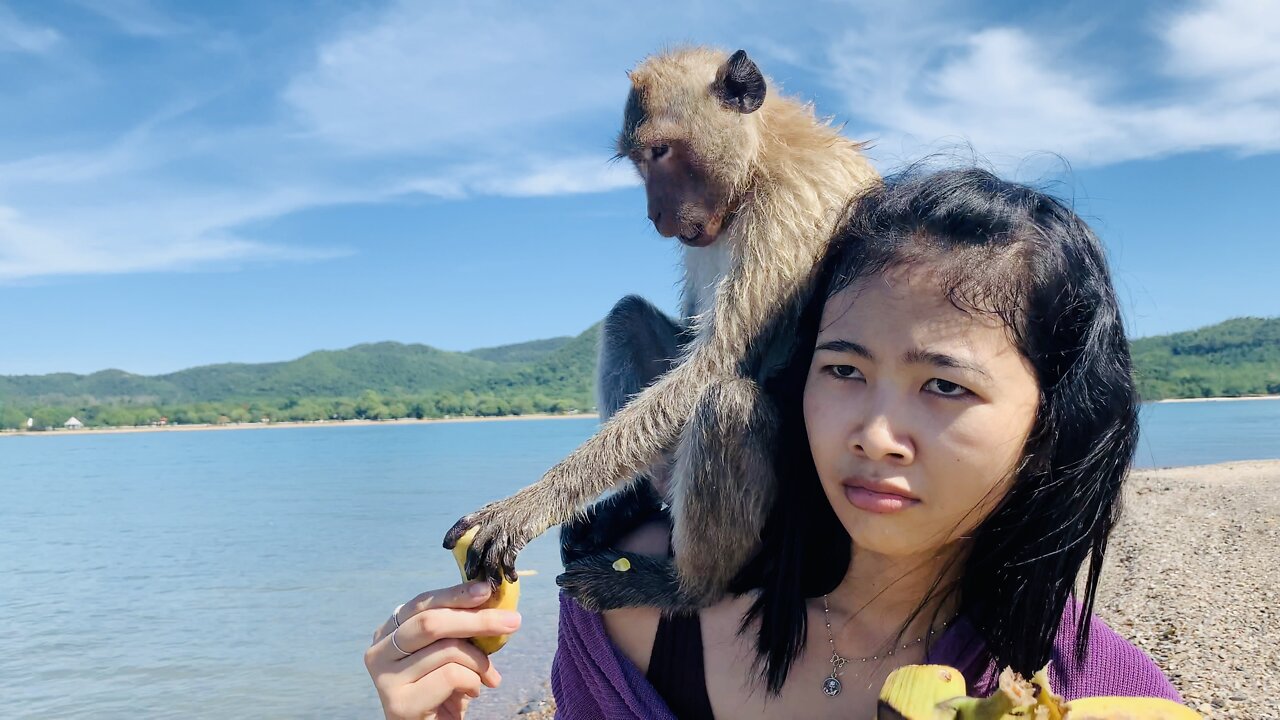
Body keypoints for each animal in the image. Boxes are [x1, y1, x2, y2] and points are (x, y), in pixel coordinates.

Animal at [448, 44, 880, 607]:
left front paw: (530, 505)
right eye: (640, 160)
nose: (655, 214)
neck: (758, 163)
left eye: (660, 151)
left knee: (727, 401)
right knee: (626, 316)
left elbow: (710, 368)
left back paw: (683, 588)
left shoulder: (786, 214)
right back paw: (636, 503)